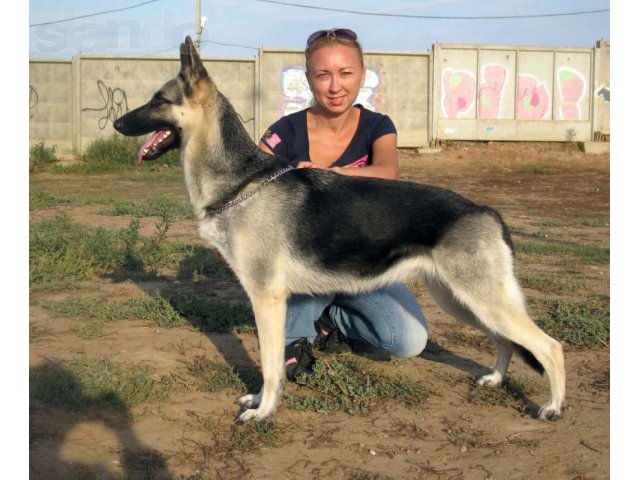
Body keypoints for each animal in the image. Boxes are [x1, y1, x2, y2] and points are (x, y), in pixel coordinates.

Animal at [114, 35, 564, 422]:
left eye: (159, 100)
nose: (117, 124)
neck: (241, 183)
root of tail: (488, 211)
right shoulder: (272, 301)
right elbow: (271, 364)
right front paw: (260, 401)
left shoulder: (266, 300)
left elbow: (270, 367)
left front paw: (263, 412)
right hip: (463, 301)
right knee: (507, 342)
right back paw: (496, 379)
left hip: (482, 300)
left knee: (549, 346)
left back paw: (553, 407)